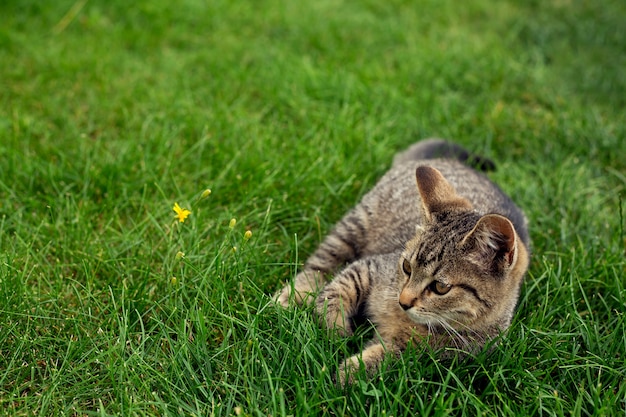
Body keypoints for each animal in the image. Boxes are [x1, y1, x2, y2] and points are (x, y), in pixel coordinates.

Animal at [272, 137, 528, 384]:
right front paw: (335, 329)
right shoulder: (370, 266)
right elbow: (336, 290)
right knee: (320, 265)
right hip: (355, 225)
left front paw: (347, 373)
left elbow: (385, 359)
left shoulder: (431, 358)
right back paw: (292, 296)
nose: (403, 301)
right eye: (406, 267)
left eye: (441, 287)